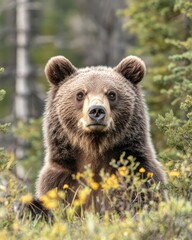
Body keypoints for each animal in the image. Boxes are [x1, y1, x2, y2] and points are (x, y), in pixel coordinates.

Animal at [19, 54, 166, 219]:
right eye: (80, 94)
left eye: (111, 93)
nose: (96, 110)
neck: (94, 147)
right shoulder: (60, 180)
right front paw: (27, 208)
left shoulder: (138, 175)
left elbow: (143, 202)